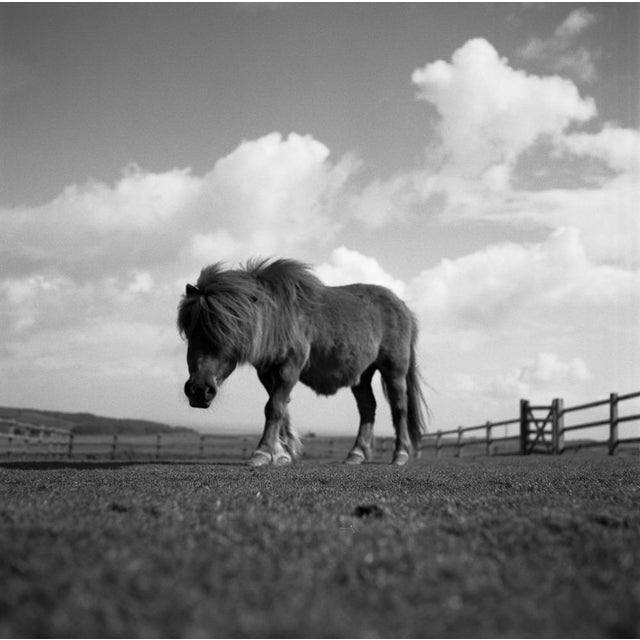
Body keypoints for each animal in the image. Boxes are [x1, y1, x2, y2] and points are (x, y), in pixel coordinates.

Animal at [177, 258, 428, 466]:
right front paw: (281, 453)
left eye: (229, 334)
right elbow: (280, 408)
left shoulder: (290, 367)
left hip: (394, 370)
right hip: (362, 375)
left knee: (399, 407)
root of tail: (404, 308)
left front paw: (262, 453)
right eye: (190, 332)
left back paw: (400, 455)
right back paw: (356, 454)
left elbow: (274, 407)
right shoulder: (267, 372)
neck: (277, 317)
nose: (199, 390)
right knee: (367, 408)